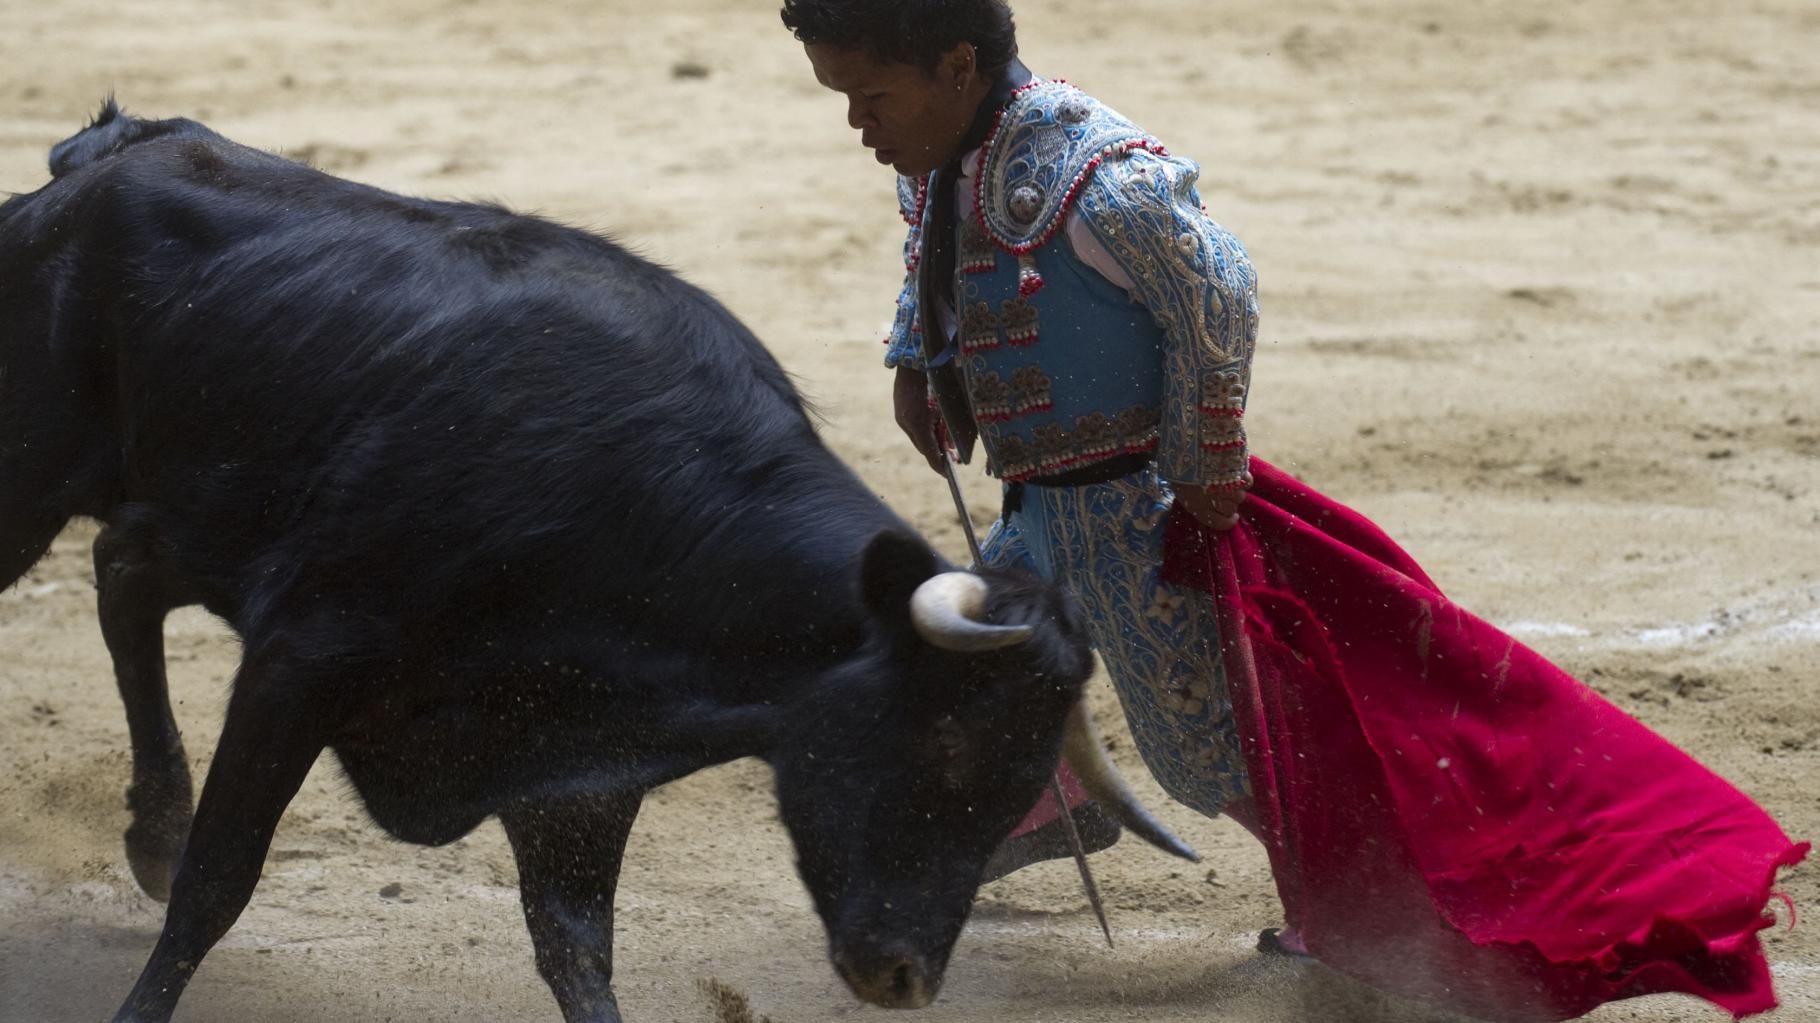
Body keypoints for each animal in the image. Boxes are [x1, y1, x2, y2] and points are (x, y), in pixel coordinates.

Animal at [3, 105, 1193, 1019]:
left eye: (1020, 789)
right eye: (942, 743)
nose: (902, 976)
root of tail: (105, 153)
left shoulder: (576, 778)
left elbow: (576, 953)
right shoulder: (302, 656)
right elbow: (217, 885)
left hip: (192, 513)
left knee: (123, 570)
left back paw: (149, 826)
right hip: (36, 486)